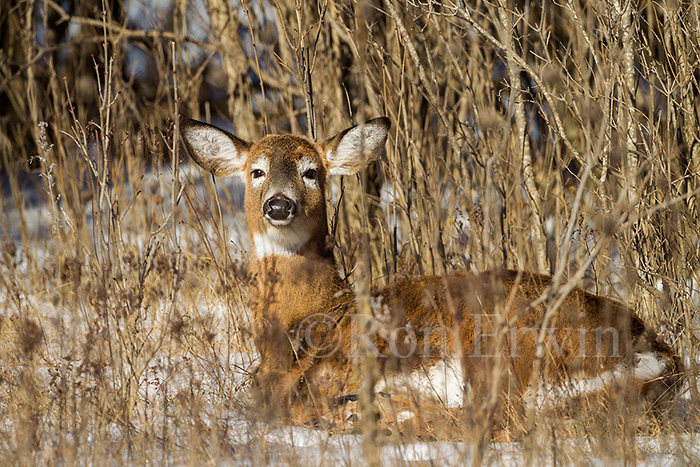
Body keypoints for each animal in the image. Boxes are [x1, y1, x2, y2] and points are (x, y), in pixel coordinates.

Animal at [180, 116, 684, 438]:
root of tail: (664, 358)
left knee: (500, 420)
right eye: (256, 171)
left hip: (502, 342)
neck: (311, 318)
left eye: (311, 172)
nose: (279, 204)